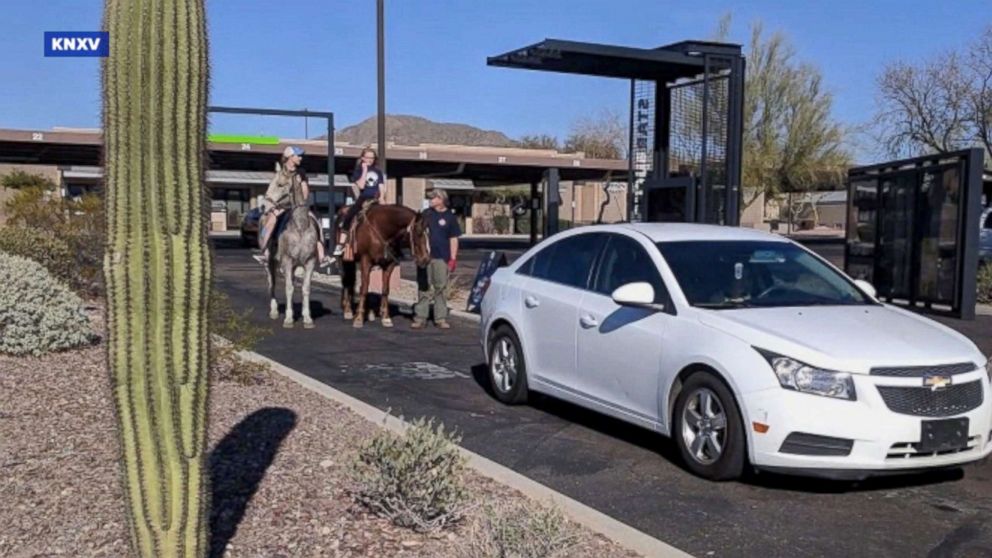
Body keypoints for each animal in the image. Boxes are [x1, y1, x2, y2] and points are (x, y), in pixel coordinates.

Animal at [264, 168, 318, 330]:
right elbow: (288, 288)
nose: (264, 207)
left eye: (280, 185)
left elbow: (305, 288)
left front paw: (307, 318)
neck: (300, 228)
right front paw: (288, 319)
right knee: (272, 284)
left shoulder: (310, 263)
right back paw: (274, 311)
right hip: (272, 262)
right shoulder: (287, 262)